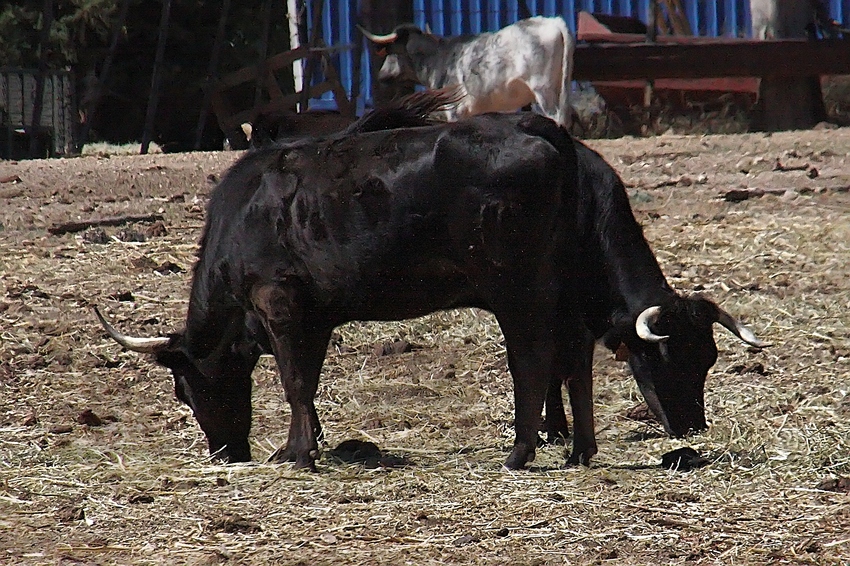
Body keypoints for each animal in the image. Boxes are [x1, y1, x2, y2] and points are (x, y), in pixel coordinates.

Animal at [96, 94, 764, 474]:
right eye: (683, 358)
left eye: (184, 389)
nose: (226, 453)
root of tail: (543, 130)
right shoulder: (313, 316)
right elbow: (307, 379)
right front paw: (305, 444)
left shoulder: (279, 302)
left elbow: (292, 381)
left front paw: (298, 454)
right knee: (572, 359)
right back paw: (577, 449)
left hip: (518, 288)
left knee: (533, 359)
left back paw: (520, 452)